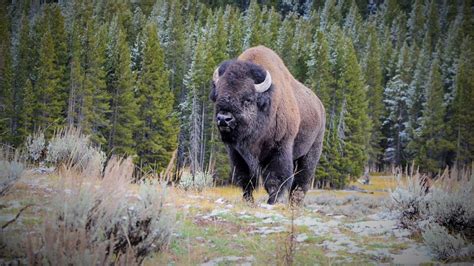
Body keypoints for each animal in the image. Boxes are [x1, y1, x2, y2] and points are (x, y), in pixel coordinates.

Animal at [211, 45, 326, 205]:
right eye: (218, 96)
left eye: (247, 99)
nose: (223, 119)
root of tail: (320, 106)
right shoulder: (237, 154)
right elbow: (246, 179)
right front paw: (248, 201)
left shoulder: (279, 150)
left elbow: (274, 180)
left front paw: (272, 202)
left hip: (311, 152)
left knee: (302, 180)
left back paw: (295, 203)